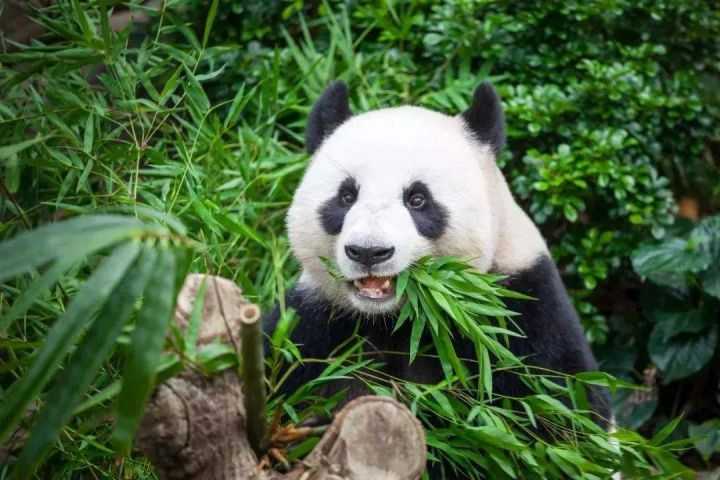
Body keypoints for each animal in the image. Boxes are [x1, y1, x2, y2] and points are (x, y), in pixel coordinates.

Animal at [264, 81, 612, 464]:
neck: (399, 319)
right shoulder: (315, 322)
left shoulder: (521, 313)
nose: (369, 251)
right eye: (346, 196)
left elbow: (560, 417)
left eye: (418, 199)